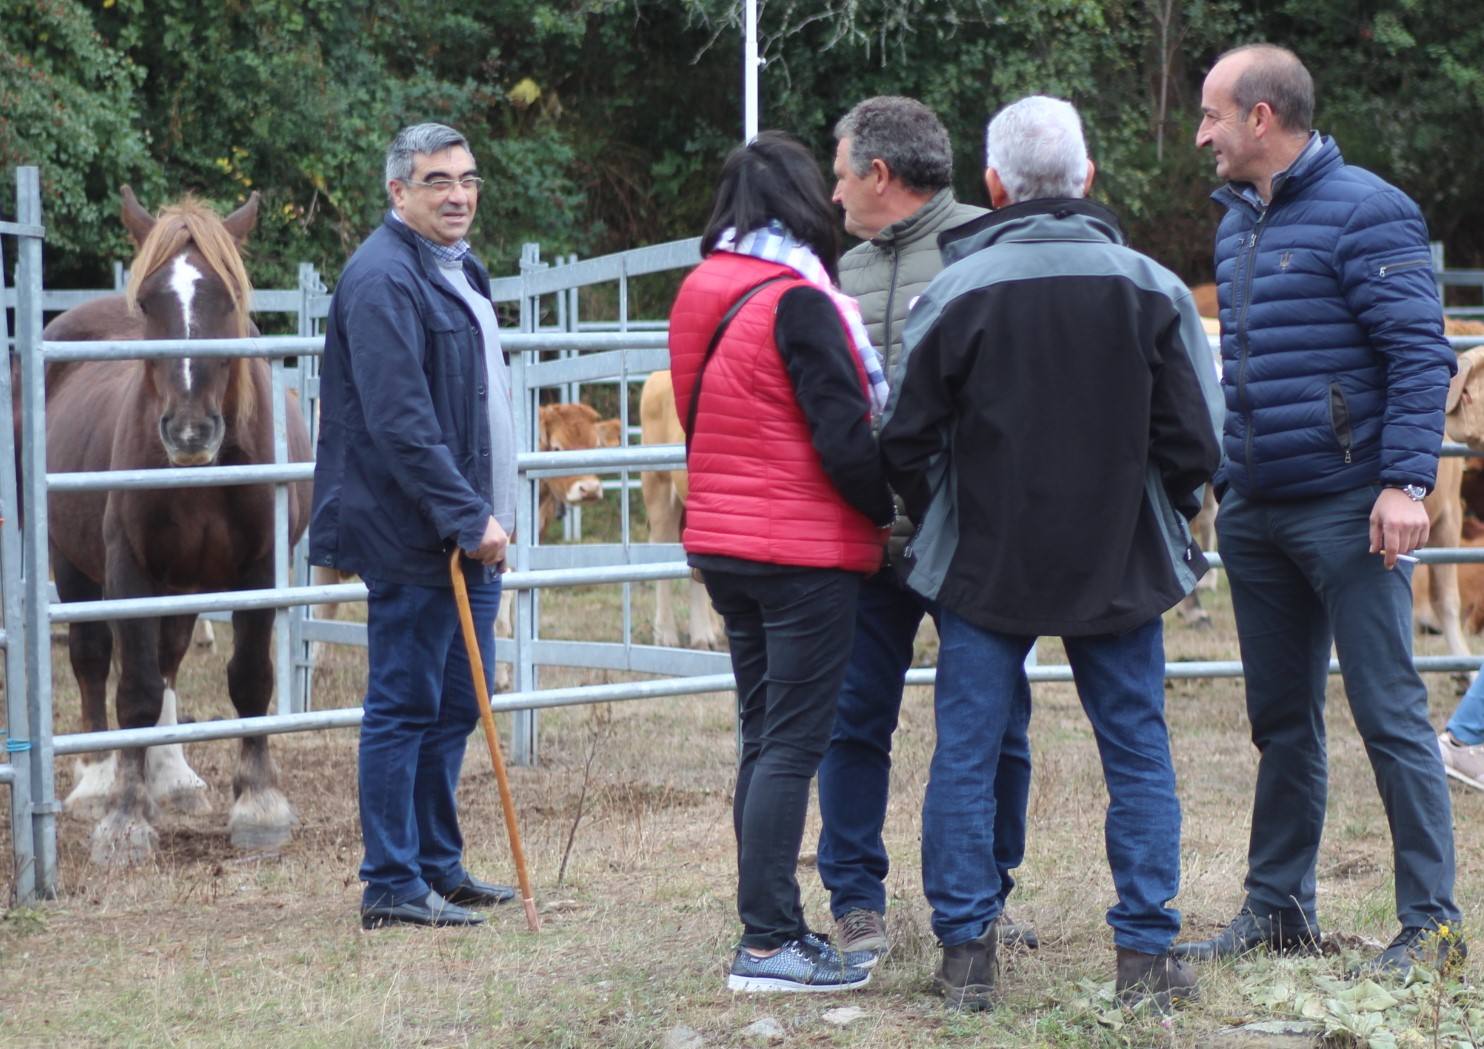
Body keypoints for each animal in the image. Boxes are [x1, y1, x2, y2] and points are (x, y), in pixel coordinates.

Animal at [45, 186, 310, 860]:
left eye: (231, 297)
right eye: (148, 302)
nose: (190, 431)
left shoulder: (257, 570)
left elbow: (250, 679)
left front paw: (259, 805)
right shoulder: (128, 569)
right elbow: (133, 687)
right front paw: (124, 818)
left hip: (183, 582)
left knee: (167, 658)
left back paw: (173, 776)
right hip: (70, 559)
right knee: (92, 658)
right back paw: (96, 781)